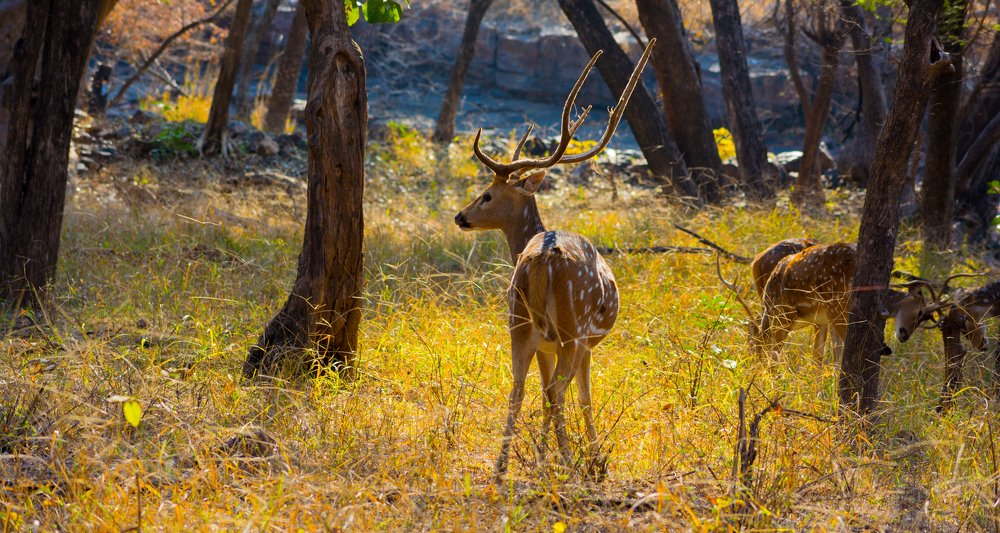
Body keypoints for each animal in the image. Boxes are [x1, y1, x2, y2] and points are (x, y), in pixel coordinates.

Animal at [453, 40, 656, 478]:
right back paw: (566, 465)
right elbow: (583, 395)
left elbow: (547, 392)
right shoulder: (586, 344)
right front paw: (592, 458)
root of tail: (543, 258)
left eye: (487, 195)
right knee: (558, 392)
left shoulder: (546, 344)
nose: (460, 216)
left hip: (520, 325)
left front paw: (544, 455)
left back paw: (503, 469)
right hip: (570, 328)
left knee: (519, 388)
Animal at [722, 241, 937, 359]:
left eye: (924, 316)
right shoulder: (828, 317)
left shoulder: (818, 319)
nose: (904, 335)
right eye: (920, 312)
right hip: (803, 313)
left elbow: (824, 356)